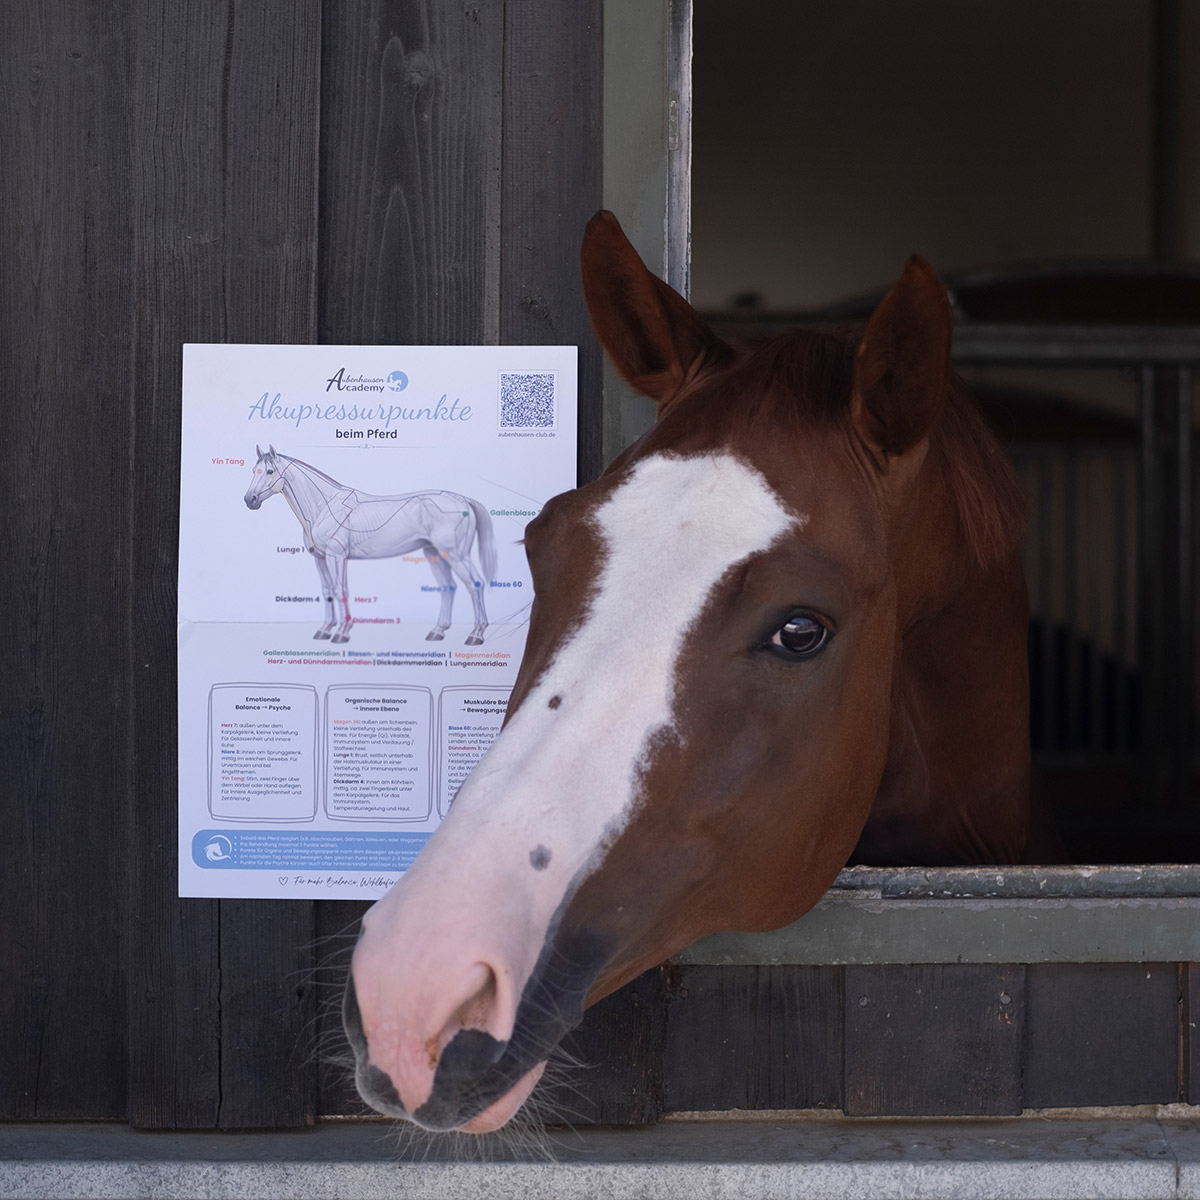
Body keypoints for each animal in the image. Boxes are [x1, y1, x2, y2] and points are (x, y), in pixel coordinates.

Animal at [243, 447, 496, 645]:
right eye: (253, 471)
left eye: (269, 471)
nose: (250, 500)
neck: (324, 507)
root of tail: (463, 500)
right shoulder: (321, 559)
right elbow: (327, 592)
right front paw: (324, 630)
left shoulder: (337, 556)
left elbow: (340, 591)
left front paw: (341, 633)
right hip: (434, 553)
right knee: (448, 588)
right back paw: (437, 631)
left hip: (454, 554)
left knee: (475, 584)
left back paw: (475, 635)